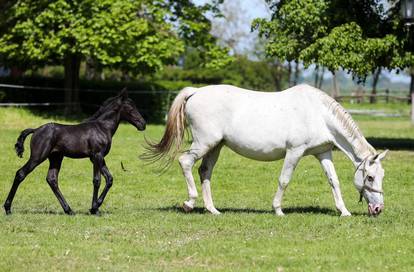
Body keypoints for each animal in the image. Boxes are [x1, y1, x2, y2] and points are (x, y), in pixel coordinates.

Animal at [4, 88, 146, 215]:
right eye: (131, 108)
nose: (143, 124)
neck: (102, 127)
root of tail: (36, 130)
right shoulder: (97, 156)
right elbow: (97, 180)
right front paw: (94, 209)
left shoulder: (98, 158)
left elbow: (108, 179)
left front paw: (95, 207)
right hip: (38, 156)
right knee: (21, 173)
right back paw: (7, 208)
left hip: (56, 158)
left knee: (52, 179)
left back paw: (69, 210)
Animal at [145, 85, 388, 217]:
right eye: (369, 177)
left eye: (381, 176)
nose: (378, 209)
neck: (318, 114)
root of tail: (195, 92)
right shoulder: (294, 152)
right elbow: (284, 180)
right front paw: (278, 210)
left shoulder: (323, 153)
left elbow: (333, 181)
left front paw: (344, 211)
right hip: (204, 142)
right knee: (185, 162)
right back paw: (189, 203)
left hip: (216, 146)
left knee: (205, 172)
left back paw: (212, 209)